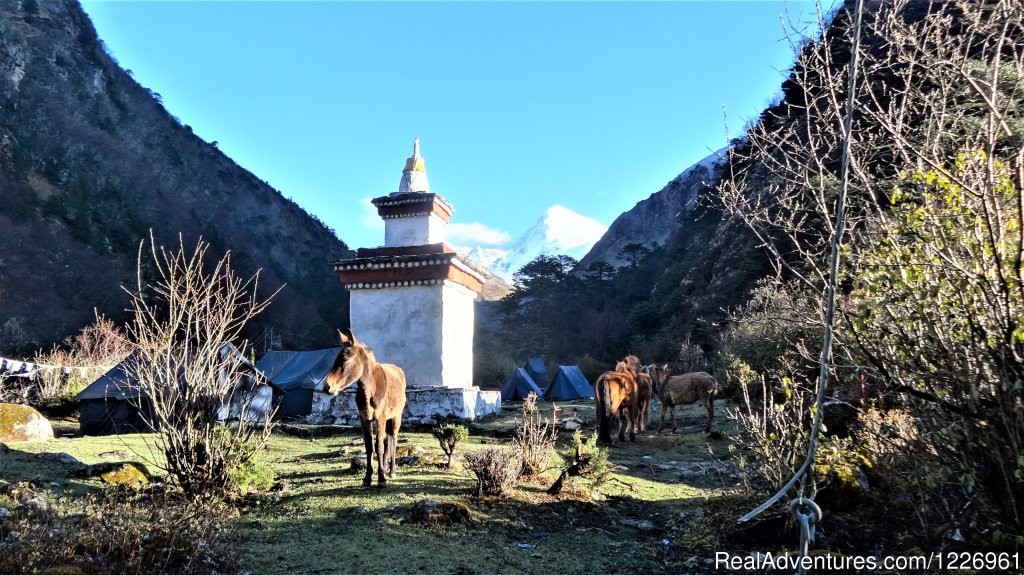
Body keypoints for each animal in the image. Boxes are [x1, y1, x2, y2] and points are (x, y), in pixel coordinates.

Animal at [327, 327, 407, 482]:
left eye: (345, 358)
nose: (327, 386)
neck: (370, 389)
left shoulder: (380, 418)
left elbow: (378, 446)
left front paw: (381, 478)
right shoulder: (364, 418)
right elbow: (369, 446)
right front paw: (368, 476)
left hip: (395, 417)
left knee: (393, 439)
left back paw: (391, 471)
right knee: (387, 440)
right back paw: (386, 467)